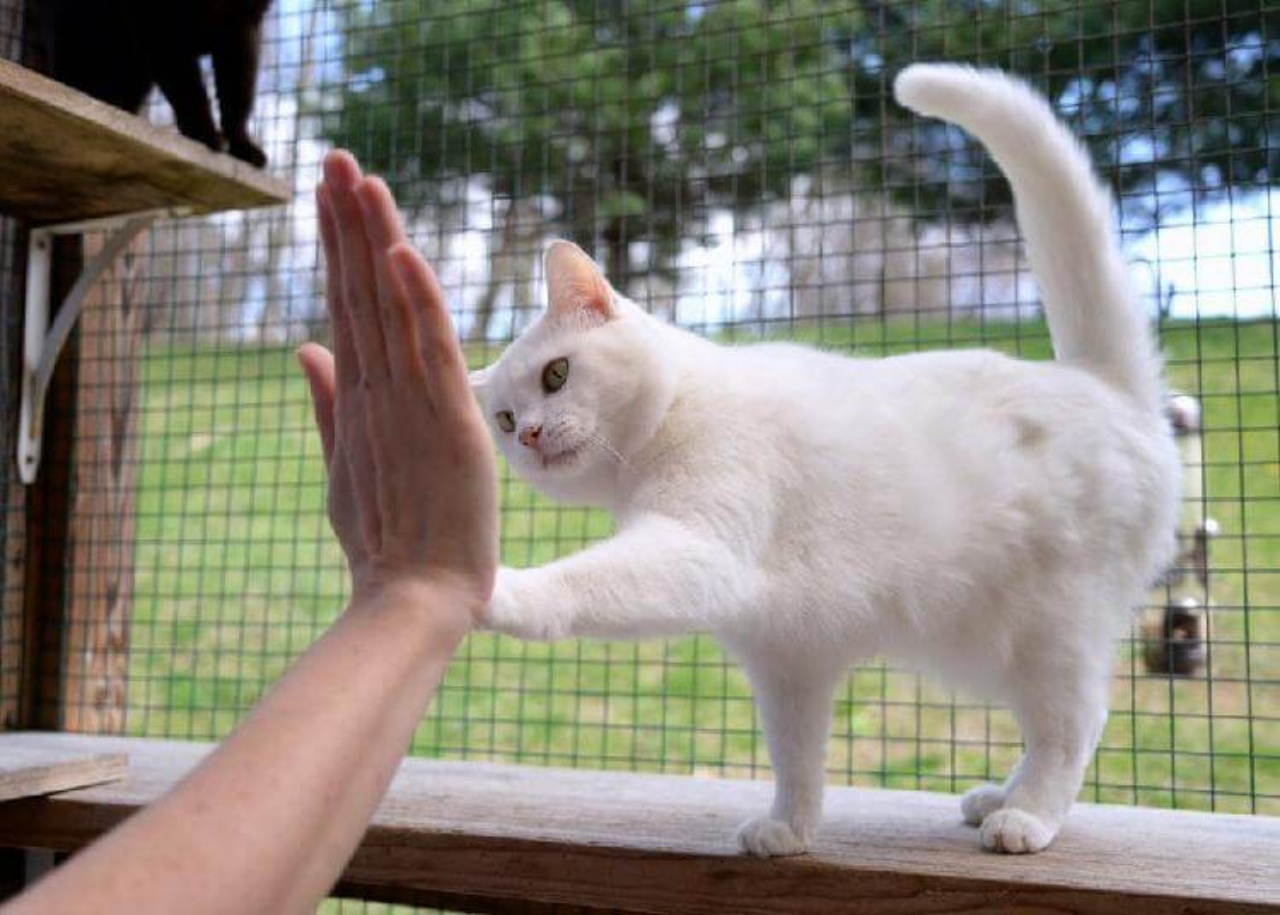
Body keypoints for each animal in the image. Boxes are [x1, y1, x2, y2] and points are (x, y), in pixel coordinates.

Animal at [38, 0, 272, 166]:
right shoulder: (160, 23)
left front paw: (243, 146)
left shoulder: (241, 25)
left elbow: (238, 93)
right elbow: (189, 90)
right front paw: (203, 134)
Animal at [471, 66, 1177, 859]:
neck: (679, 409)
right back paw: (1000, 794)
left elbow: (579, 583)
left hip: (1048, 631)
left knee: (1075, 724)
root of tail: (1106, 384)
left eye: (557, 374)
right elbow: (797, 755)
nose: (530, 435)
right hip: (990, 644)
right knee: (1050, 727)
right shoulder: (788, 656)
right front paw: (789, 829)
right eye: (503, 420)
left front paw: (499, 591)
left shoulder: (698, 553)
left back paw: (1026, 817)